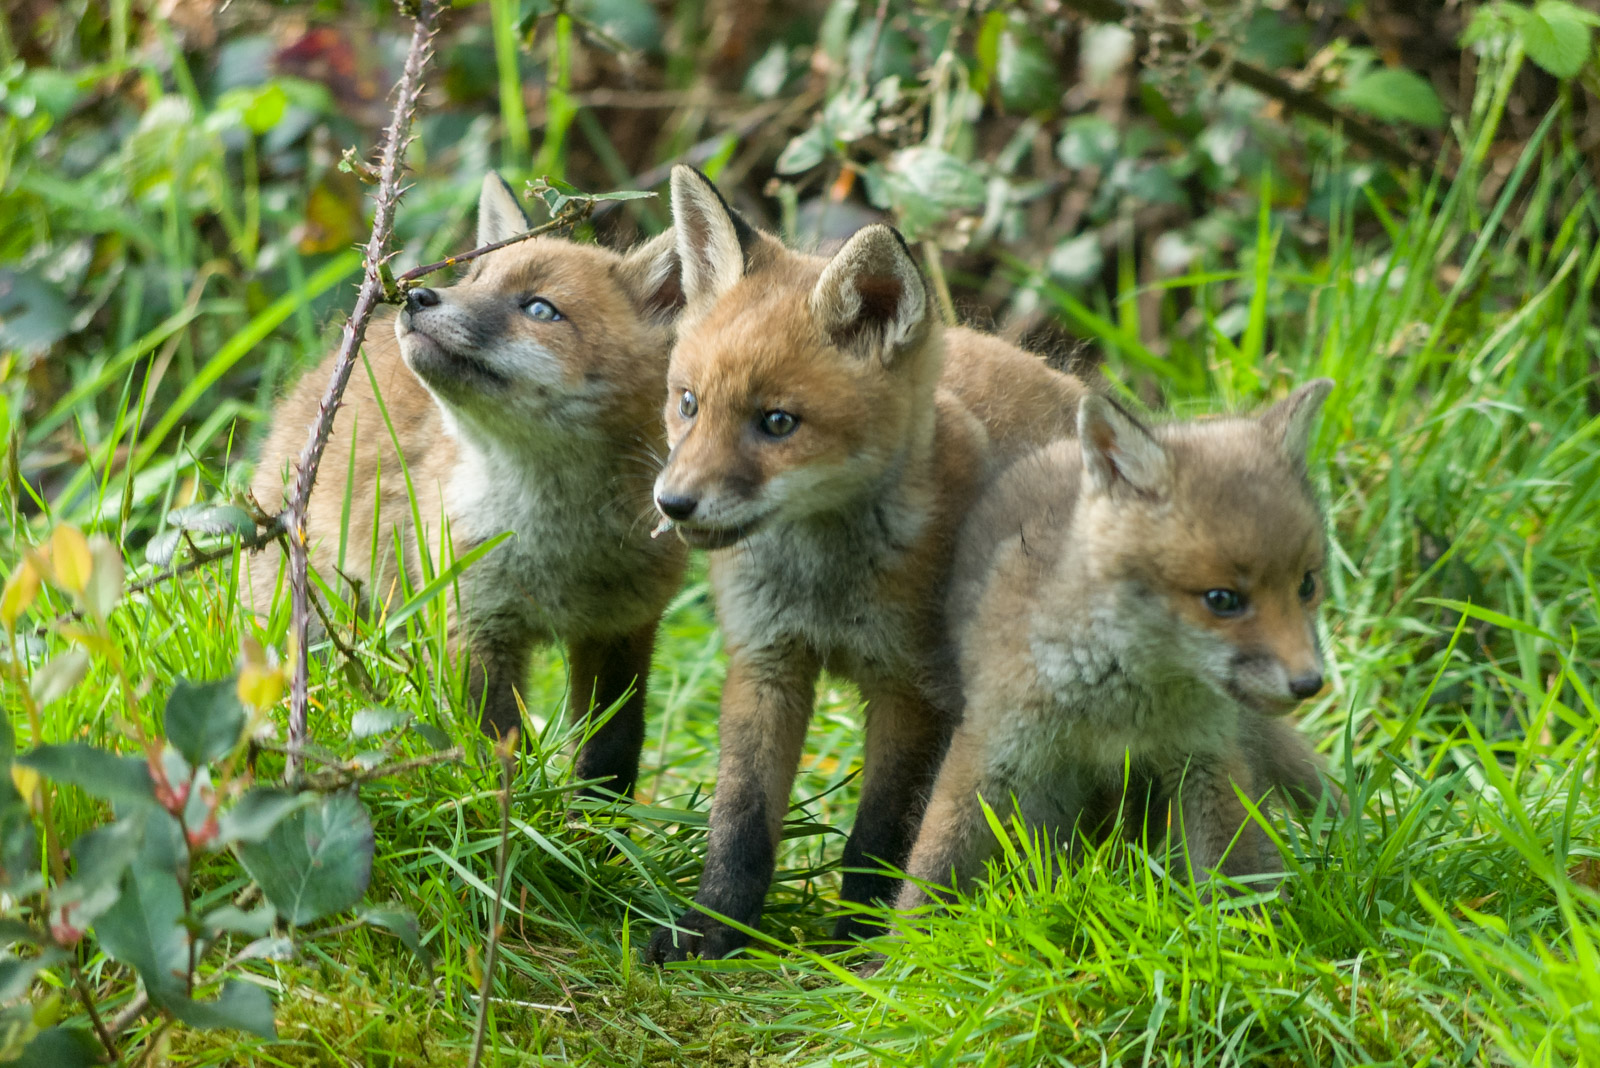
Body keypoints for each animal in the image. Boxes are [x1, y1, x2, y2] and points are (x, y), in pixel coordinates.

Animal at [244, 173, 686, 798]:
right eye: (475, 281)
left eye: (540, 309)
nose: (417, 297)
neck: (558, 545)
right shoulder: (469, 620)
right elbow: (495, 743)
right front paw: (513, 809)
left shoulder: (624, 629)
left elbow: (612, 752)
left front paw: (598, 821)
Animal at [643, 166, 1091, 962]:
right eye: (688, 404)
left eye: (778, 423)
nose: (673, 504)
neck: (823, 583)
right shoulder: (767, 661)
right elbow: (739, 822)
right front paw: (711, 929)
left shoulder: (913, 689)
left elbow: (877, 834)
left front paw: (855, 941)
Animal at [892, 380, 1341, 916]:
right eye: (1222, 600)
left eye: (1307, 585)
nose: (1309, 683)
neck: (1121, 704)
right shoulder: (989, 753)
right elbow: (928, 877)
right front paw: (894, 941)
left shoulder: (1207, 758)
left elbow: (1233, 878)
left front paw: (1246, 933)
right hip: (1054, 795)